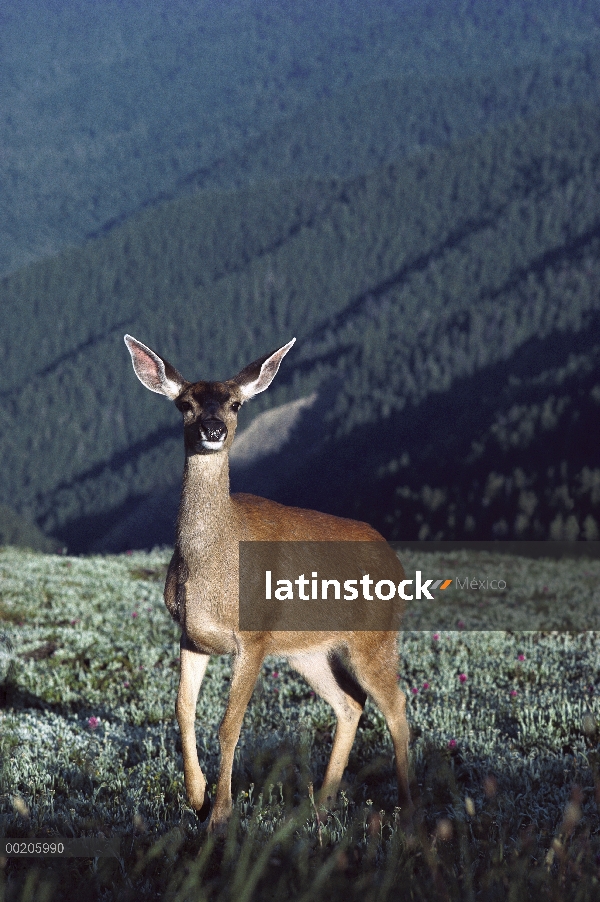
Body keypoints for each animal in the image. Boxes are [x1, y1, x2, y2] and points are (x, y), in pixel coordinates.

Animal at [122, 336, 412, 836]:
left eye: (236, 403)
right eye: (185, 404)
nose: (213, 428)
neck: (211, 569)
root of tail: (394, 560)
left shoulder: (254, 637)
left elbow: (230, 725)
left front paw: (220, 813)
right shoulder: (191, 635)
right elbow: (182, 712)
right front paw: (196, 797)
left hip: (373, 639)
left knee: (397, 708)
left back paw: (412, 810)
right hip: (307, 651)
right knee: (350, 703)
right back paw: (320, 808)